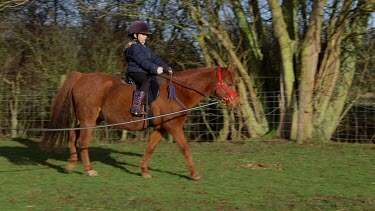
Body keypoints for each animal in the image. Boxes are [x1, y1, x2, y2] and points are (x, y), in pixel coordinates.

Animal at [41, 65, 241, 180]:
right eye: (230, 83)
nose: (236, 104)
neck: (178, 92)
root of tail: (82, 77)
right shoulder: (173, 127)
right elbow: (185, 149)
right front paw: (194, 174)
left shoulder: (160, 129)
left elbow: (150, 148)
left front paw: (144, 170)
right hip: (88, 119)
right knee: (83, 141)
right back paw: (88, 169)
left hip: (90, 119)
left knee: (73, 134)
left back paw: (71, 164)